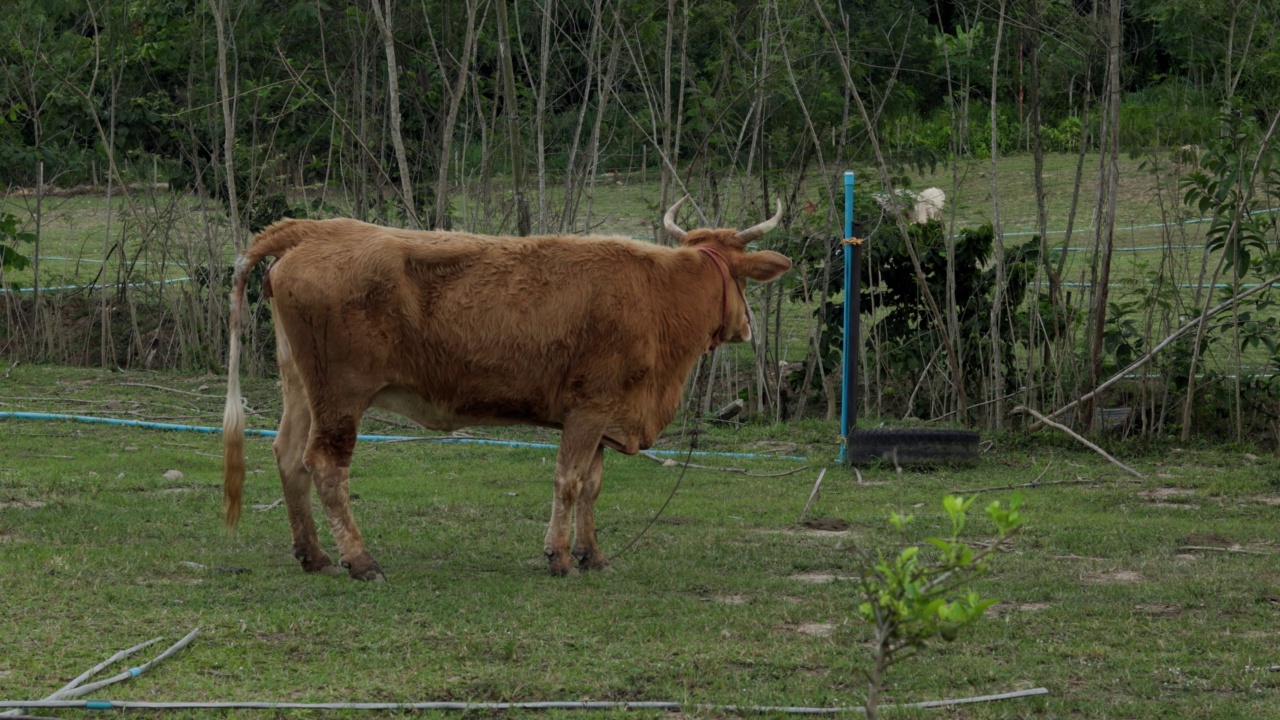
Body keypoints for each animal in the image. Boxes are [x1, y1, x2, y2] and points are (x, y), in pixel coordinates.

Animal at [225, 197, 788, 576]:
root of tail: (312, 230)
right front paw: (559, 556)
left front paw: (592, 554)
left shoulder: (604, 413)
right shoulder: (589, 408)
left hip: (302, 388)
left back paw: (313, 554)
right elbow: (568, 481)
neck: (657, 294)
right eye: (742, 280)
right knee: (324, 465)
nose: (746, 328)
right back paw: (359, 560)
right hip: (341, 396)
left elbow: (592, 486)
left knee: (287, 456)